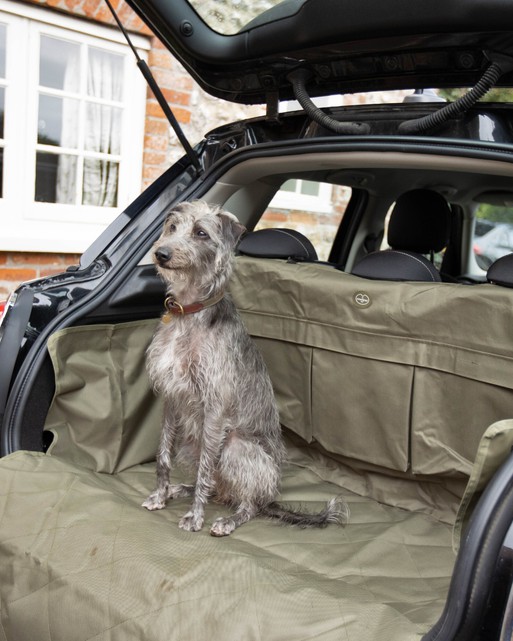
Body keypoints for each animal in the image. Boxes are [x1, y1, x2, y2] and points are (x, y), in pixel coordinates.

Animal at [143, 200, 348, 536]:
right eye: (172, 227)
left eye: (201, 232)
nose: (162, 253)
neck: (189, 312)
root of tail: (271, 496)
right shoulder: (171, 397)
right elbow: (163, 455)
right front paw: (160, 495)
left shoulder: (214, 406)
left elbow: (205, 471)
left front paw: (195, 517)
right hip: (191, 443)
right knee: (216, 485)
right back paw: (181, 489)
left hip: (235, 447)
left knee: (247, 503)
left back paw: (228, 519)